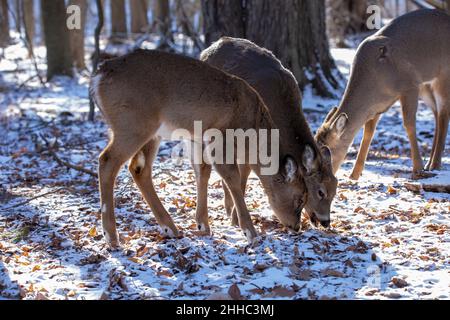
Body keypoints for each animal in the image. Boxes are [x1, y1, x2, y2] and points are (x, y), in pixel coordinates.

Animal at [91, 48, 324, 248]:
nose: (296, 227)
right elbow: (231, 177)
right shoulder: (221, 137)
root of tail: (99, 75)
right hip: (133, 124)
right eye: (300, 197)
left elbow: (203, 171)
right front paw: (251, 233)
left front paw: (203, 224)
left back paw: (169, 228)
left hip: (149, 132)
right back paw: (111, 236)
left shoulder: (196, 138)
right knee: (107, 161)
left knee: (139, 168)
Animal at [316, 9, 450, 180]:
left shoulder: (409, 85)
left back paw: (435, 164)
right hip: (426, 84)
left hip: (443, 73)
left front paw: (417, 169)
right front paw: (354, 174)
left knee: (443, 113)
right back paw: (430, 163)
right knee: (436, 113)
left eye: (327, 152)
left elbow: (409, 125)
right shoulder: (376, 105)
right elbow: (368, 132)